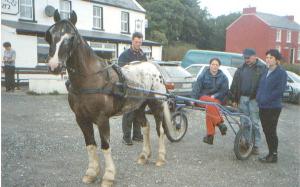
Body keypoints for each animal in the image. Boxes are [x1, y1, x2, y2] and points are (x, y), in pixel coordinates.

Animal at [44, 9, 171, 186]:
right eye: (49, 35)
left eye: (71, 37)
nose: (54, 66)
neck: (90, 79)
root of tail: (153, 67)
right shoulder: (81, 119)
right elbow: (90, 144)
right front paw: (91, 173)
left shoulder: (102, 119)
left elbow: (105, 145)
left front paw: (108, 176)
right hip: (138, 106)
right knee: (146, 128)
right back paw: (144, 156)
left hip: (156, 105)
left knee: (160, 130)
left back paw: (160, 158)